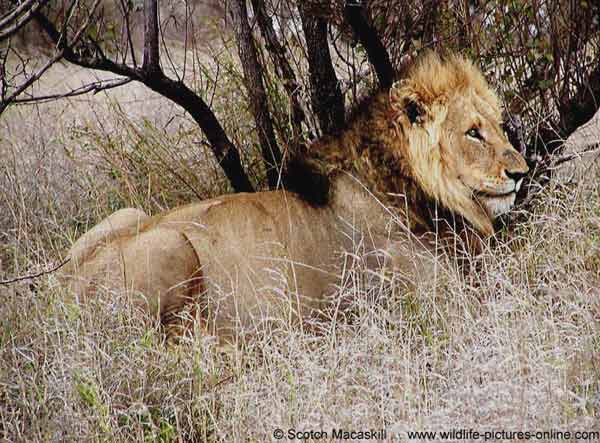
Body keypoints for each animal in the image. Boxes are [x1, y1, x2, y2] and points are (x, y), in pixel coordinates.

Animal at [63, 53, 528, 344]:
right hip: (171, 245)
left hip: (125, 214)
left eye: (500, 126)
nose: (521, 173)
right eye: (472, 132)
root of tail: (58, 291)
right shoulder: (434, 300)